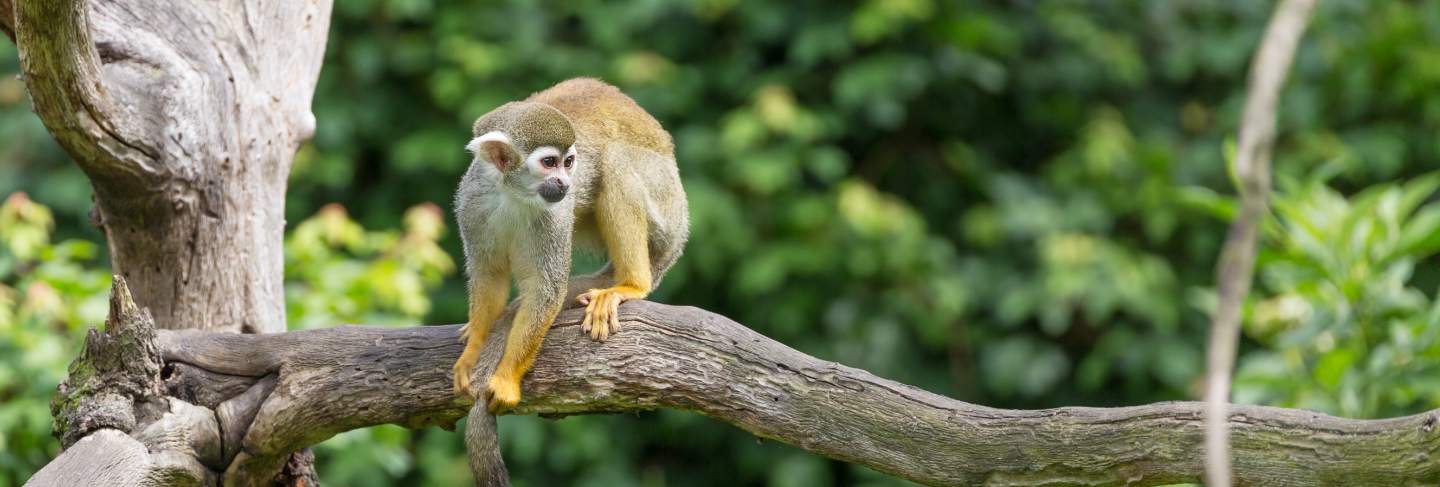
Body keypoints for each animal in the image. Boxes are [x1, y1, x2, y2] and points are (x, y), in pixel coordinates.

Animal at [450, 78, 689, 414]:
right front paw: (473, 351)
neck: (512, 194)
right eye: (549, 163)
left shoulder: (555, 213)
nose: (565, 182)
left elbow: (545, 289)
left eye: (569, 162)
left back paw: (632, 284)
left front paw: (506, 379)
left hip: (666, 206)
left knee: (615, 159)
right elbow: (489, 274)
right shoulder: (472, 202)